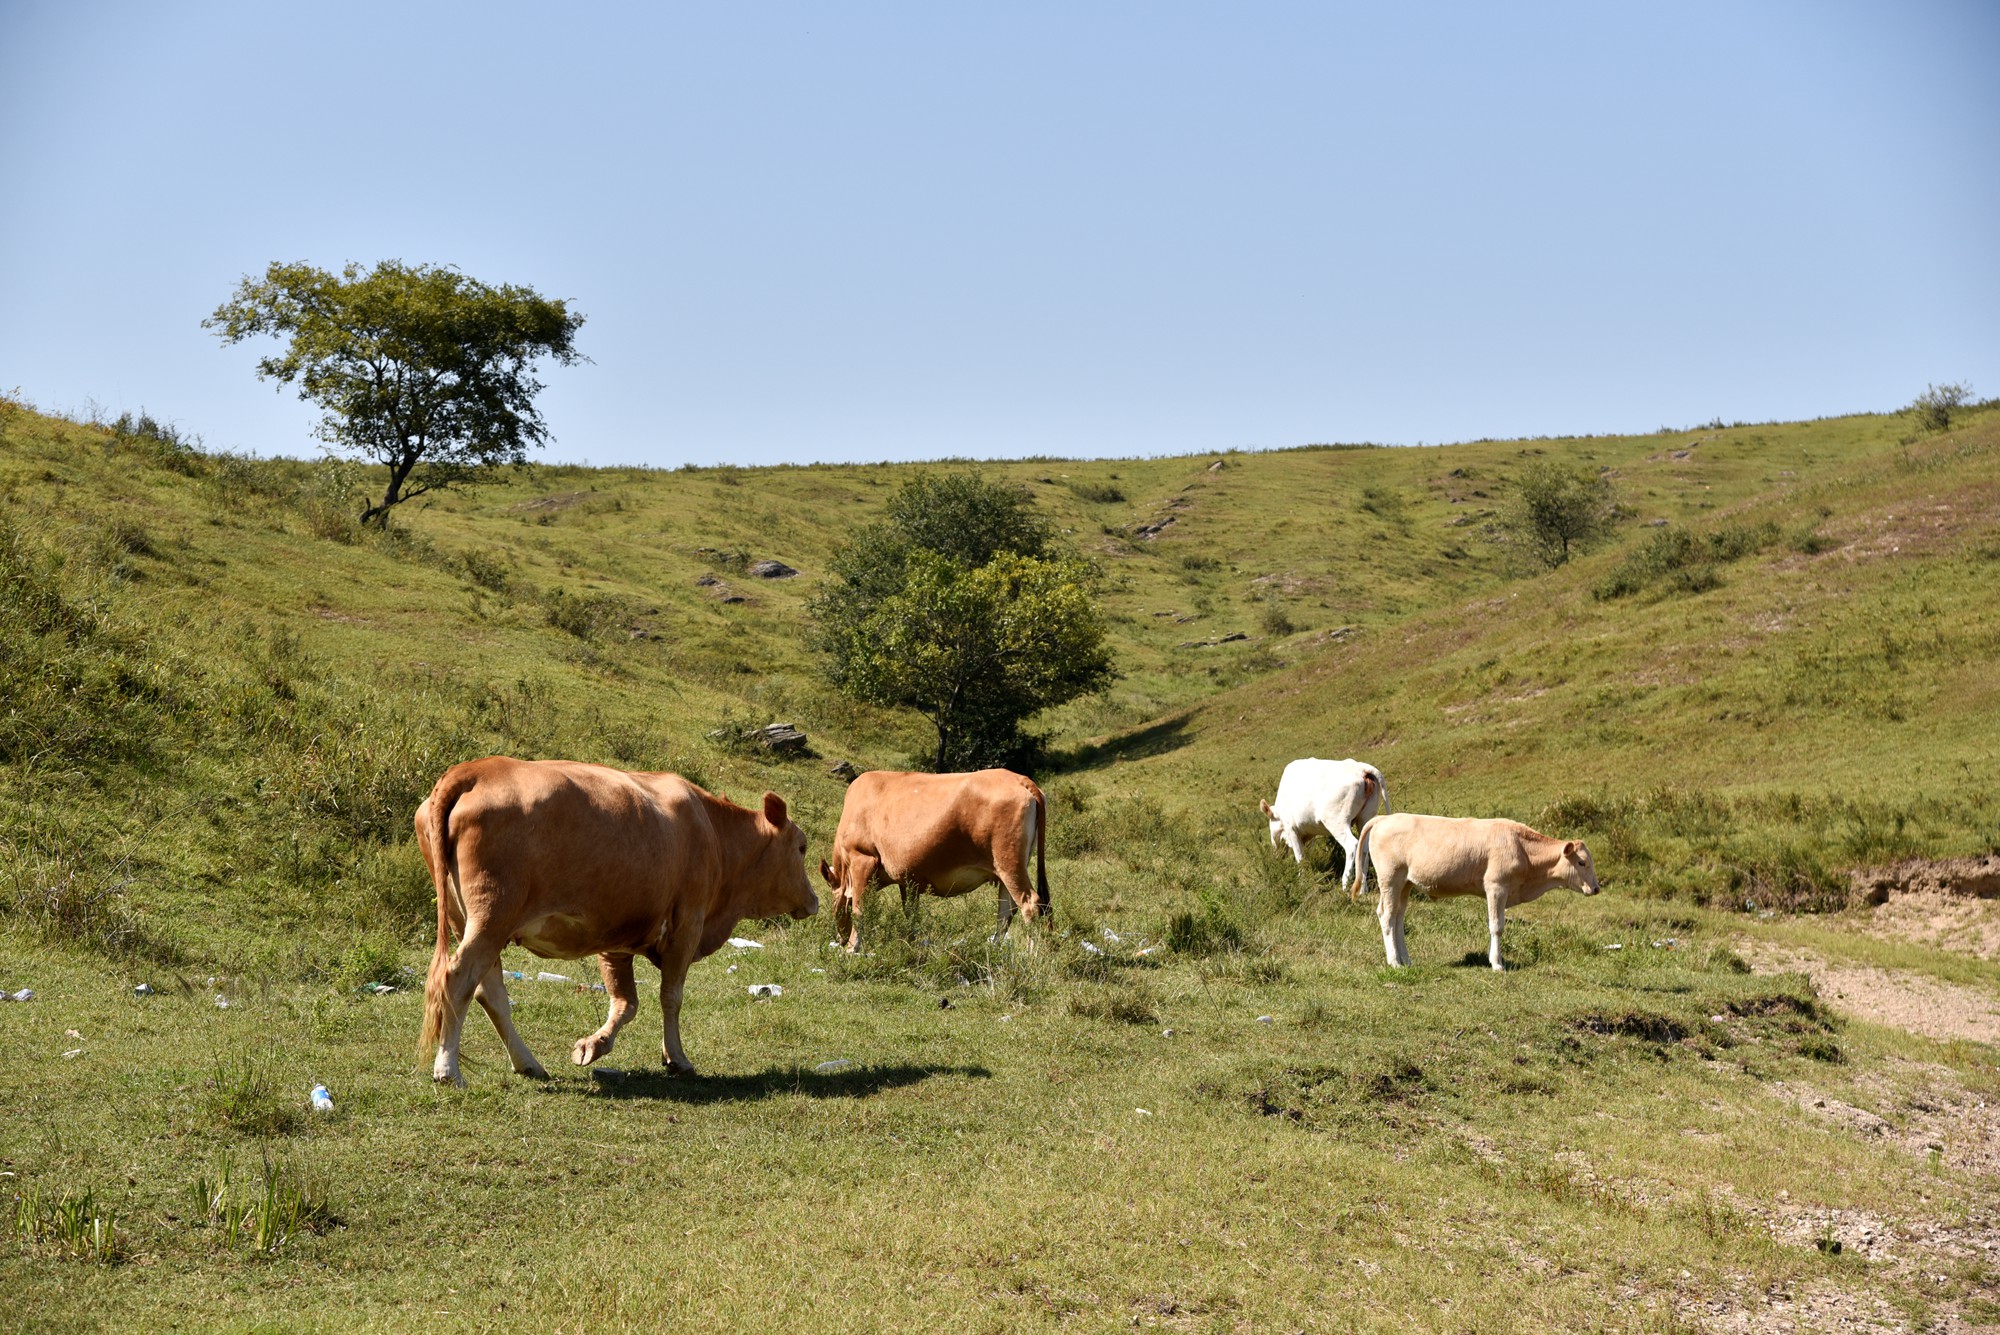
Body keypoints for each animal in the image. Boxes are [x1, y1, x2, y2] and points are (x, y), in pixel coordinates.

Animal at [820, 767, 1056, 955]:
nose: (840, 939)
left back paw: (1031, 954)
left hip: (1009, 863)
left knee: (1029, 904)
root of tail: (1021, 779)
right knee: (1006, 910)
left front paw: (852, 948)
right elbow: (910, 913)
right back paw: (995, 948)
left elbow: (859, 908)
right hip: (1008, 868)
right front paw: (910, 944)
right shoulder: (908, 878)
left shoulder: (862, 858)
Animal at [1256, 759, 1384, 895]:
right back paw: (1363, 889)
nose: (1277, 856)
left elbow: (1299, 857)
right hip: (1365, 819)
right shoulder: (1309, 832)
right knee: (1364, 849)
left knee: (1352, 846)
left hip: (1337, 822)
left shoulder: (1292, 830)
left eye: (1271, 827)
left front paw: (1302, 881)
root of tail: (1362, 769)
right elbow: (1306, 855)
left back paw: (1345, 885)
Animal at [1352, 815, 1600, 971]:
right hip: (1390, 879)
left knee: (1398, 917)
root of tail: (1383, 818)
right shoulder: (1496, 886)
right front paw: (1497, 963)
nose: (1596, 888)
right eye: (1581, 862)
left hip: (1405, 883)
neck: (1522, 848)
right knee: (1386, 916)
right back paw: (1394, 962)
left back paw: (1406, 960)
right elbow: (1497, 926)